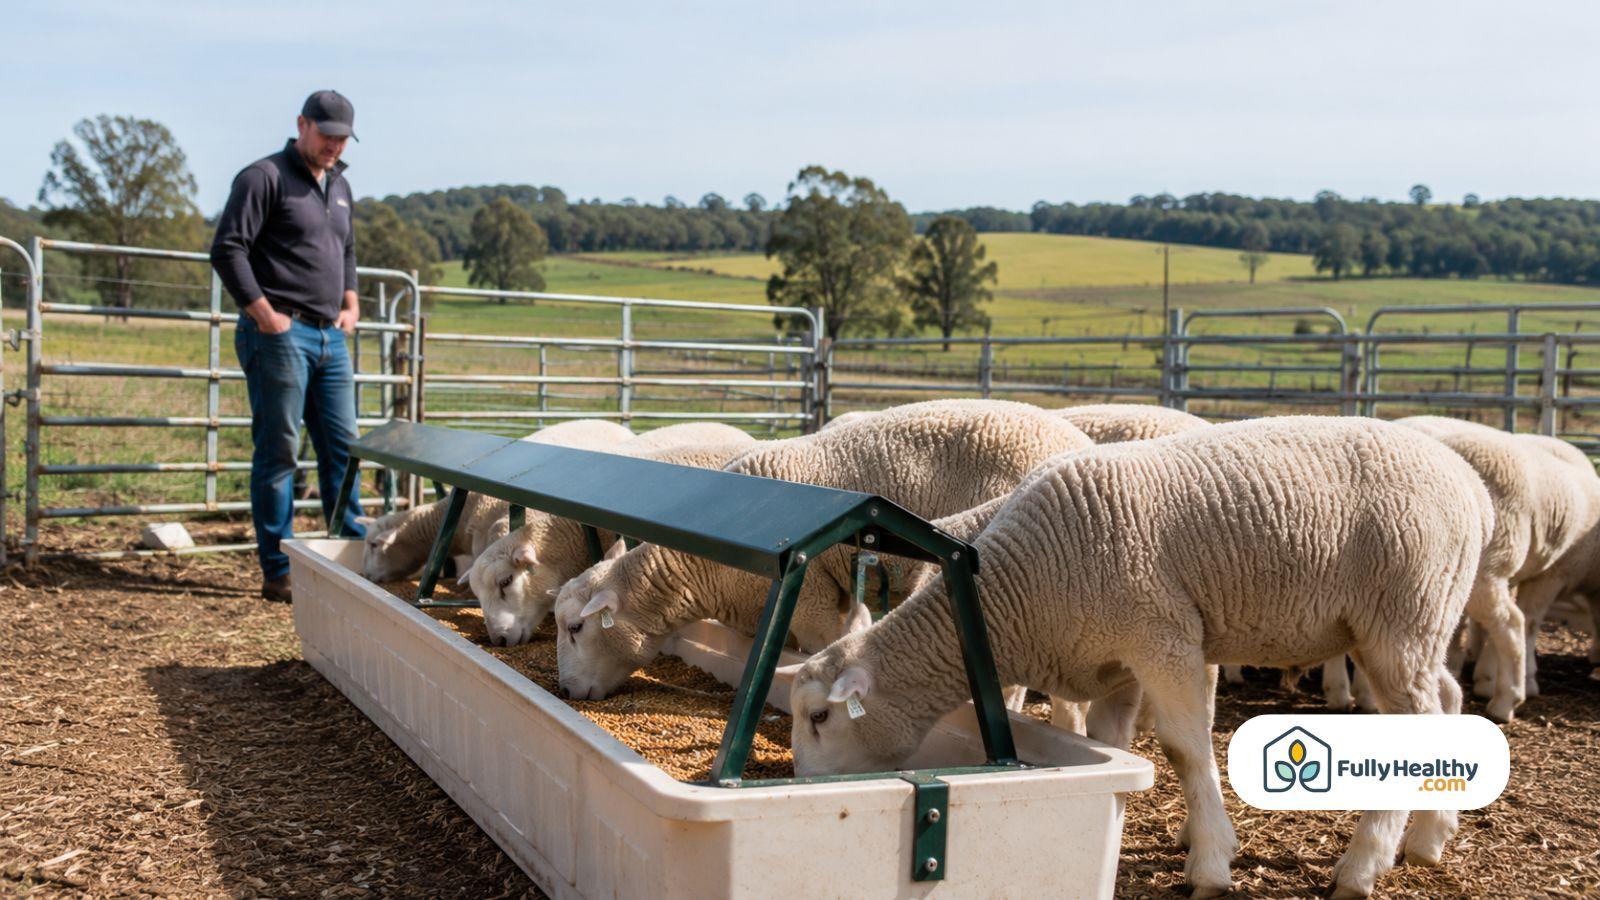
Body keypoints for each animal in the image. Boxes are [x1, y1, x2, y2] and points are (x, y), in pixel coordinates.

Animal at [787, 416, 1494, 899]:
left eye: (820, 717)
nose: (800, 786)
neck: (1019, 588)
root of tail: (1474, 488)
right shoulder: (1114, 660)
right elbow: (1111, 745)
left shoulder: (1162, 636)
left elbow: (1184, 747)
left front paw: (1210, 863)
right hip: (1415, 624)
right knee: (1449, 700)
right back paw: (1431, 837)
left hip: (1403, 614)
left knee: (1419, 720)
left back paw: (1364, 864)